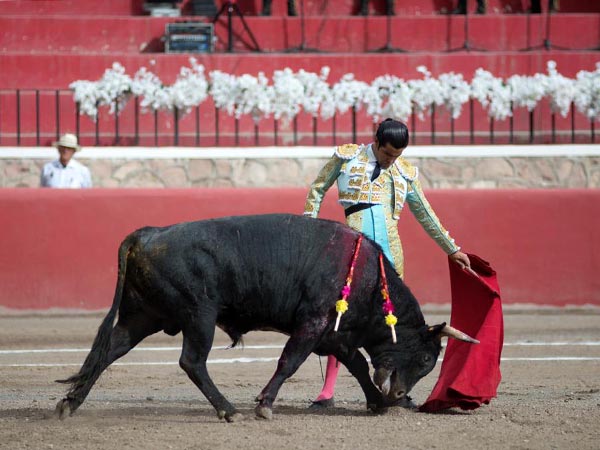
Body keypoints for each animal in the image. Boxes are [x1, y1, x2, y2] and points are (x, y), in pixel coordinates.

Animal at [55, 213, 474, 420]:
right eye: (425, 358)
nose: (401, 395)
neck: (371, 280)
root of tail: (147, 234)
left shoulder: (333, 334)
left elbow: (355, 363)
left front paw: (376, 402)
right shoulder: (314, 324)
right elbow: (289, 362)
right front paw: (264, 405)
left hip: (143, 316)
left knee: (110, 349)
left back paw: (69, 404)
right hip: (199, 315)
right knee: (192, 361)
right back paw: (227, 410)